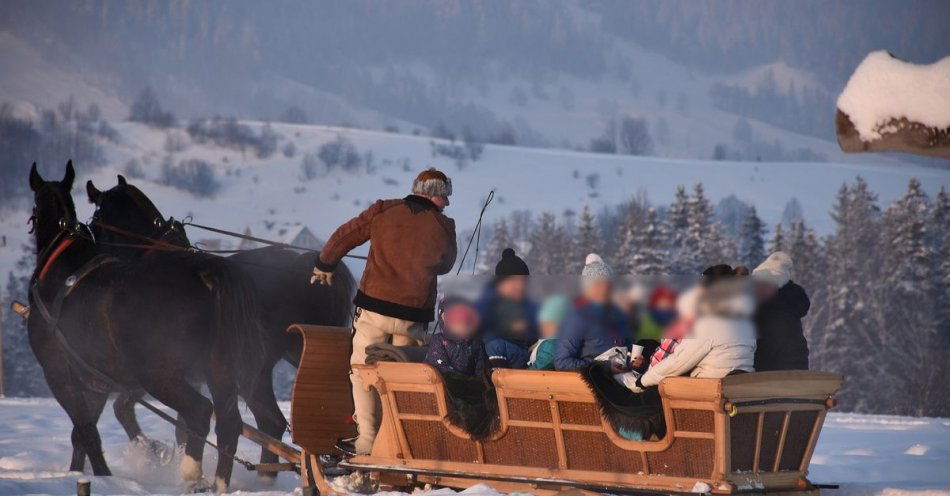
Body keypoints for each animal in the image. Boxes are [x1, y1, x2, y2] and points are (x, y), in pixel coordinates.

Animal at [27, 164, 268, 492]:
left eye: (97, 220)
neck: (63, 264)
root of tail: (209, 273)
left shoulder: (57, 372)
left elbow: (86, 430)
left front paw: (101, 477)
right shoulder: (95, 379)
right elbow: (83, 433)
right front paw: (79, 473)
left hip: (159, 375)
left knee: (199, 411)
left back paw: (192, 475)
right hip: (220, 368)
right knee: (229, 423)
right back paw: (218, 483)